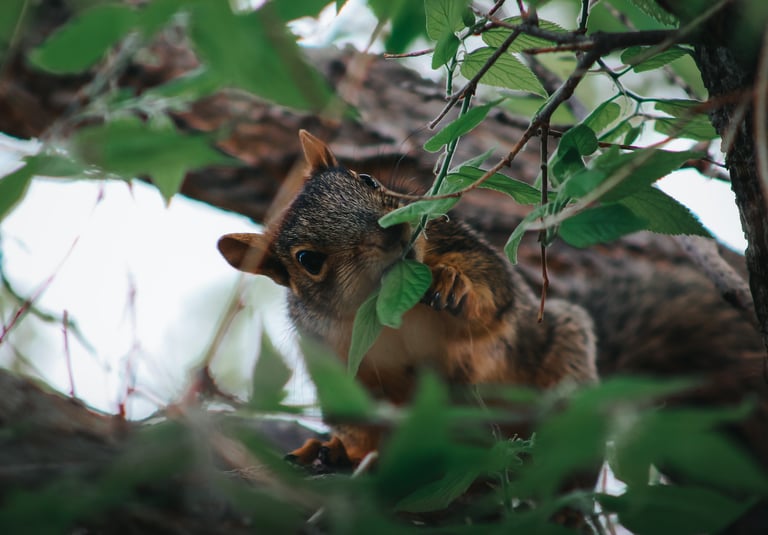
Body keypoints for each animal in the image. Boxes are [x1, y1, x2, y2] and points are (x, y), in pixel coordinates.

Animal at [218, 130, 598, 466]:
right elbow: (359, 417)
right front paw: (344, 450)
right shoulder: (335, 358)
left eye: (368, 180)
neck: (398, 308)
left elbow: (494, 301)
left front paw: (453, 282)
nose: (390, 229)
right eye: (308, 260)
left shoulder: (461, 245)